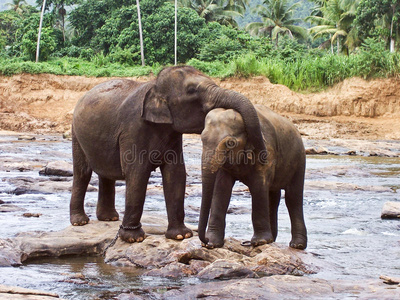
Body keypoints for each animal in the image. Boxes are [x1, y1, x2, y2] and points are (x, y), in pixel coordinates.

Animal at [70, 66, 268, 244]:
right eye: (192, 90)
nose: (261, 153)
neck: (154, 86)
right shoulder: (132, 129)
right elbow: (137, 174)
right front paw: (133, 238)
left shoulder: (173, 135)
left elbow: (176, 174)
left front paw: (181, 236)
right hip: (76, 134)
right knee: (82, 173)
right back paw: (80, 222)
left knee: (106, 175)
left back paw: (109, 218)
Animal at [199, 104, 306, 250]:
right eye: (202, 139)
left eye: (231, 143)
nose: (205, 241)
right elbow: (221, 189)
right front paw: (212, 244)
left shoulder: (267, 151)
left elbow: (258, 186)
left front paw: (259, 242)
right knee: (273, 197)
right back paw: (272, 240)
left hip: (299, 160)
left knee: (293, 197)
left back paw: (297, 245)